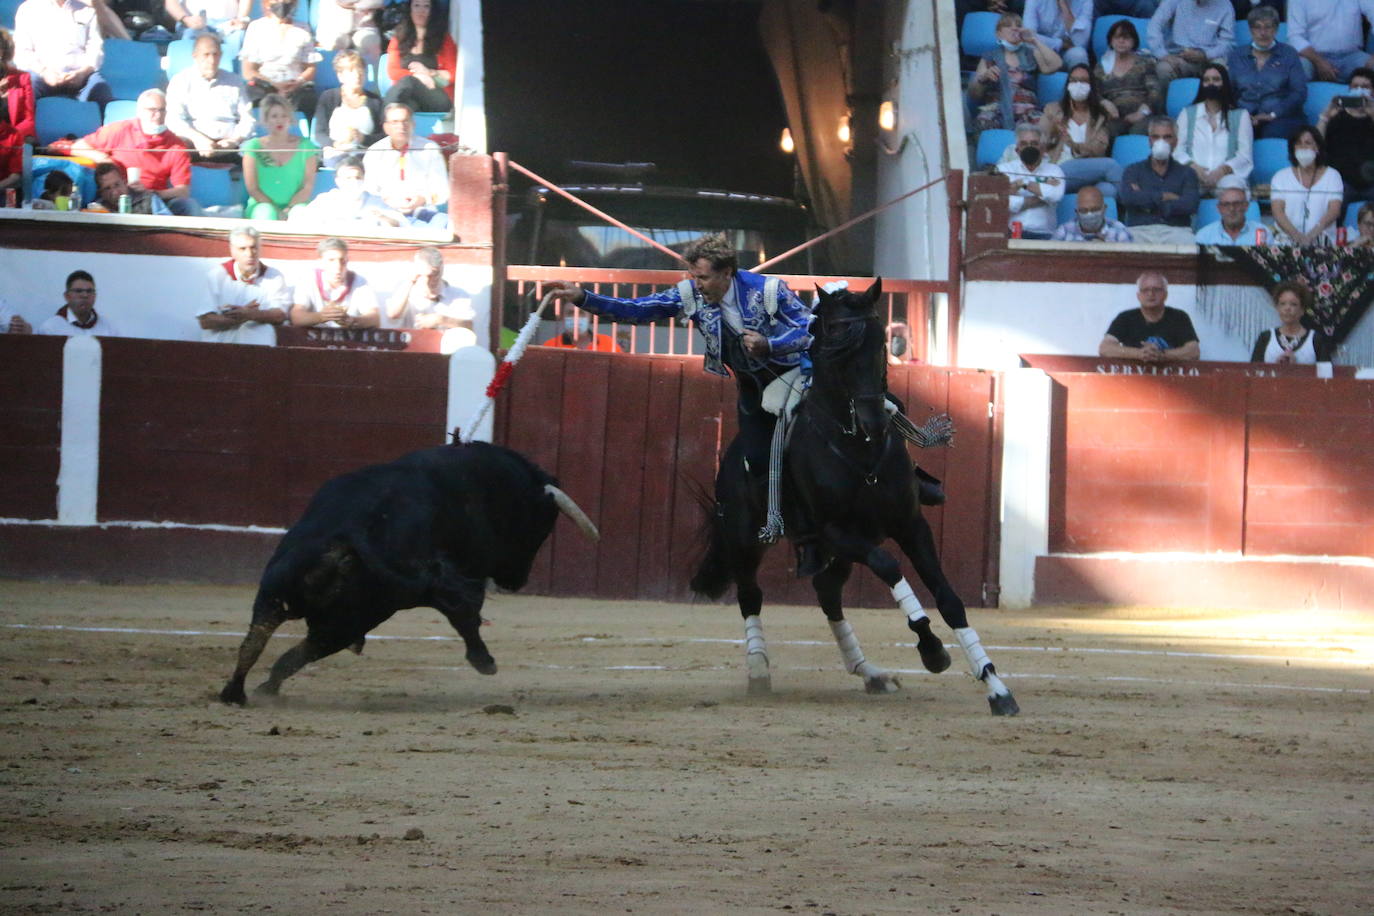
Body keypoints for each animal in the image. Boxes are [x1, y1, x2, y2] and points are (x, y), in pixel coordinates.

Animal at [219, 439, 596, 708]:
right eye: (542, 528)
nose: (516, 580)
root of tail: (349, 535)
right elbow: (465, 616)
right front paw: (484, 661)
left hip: (277, 596)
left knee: (258, 644)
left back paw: (239, 694)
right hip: (355, 617)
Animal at [692, 277, 1016, 714]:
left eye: (879, 339)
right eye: (832, 338)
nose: (874, 419)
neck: (859, 447)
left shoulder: (910, 524)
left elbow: (949, 599)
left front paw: (996, 687)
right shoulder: (836, 530)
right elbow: (889, 567)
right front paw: (932, 649)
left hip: (841, 549)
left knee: (827, 591)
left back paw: (869, 673)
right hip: (746, 539)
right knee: (750, 594)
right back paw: (759, 671)